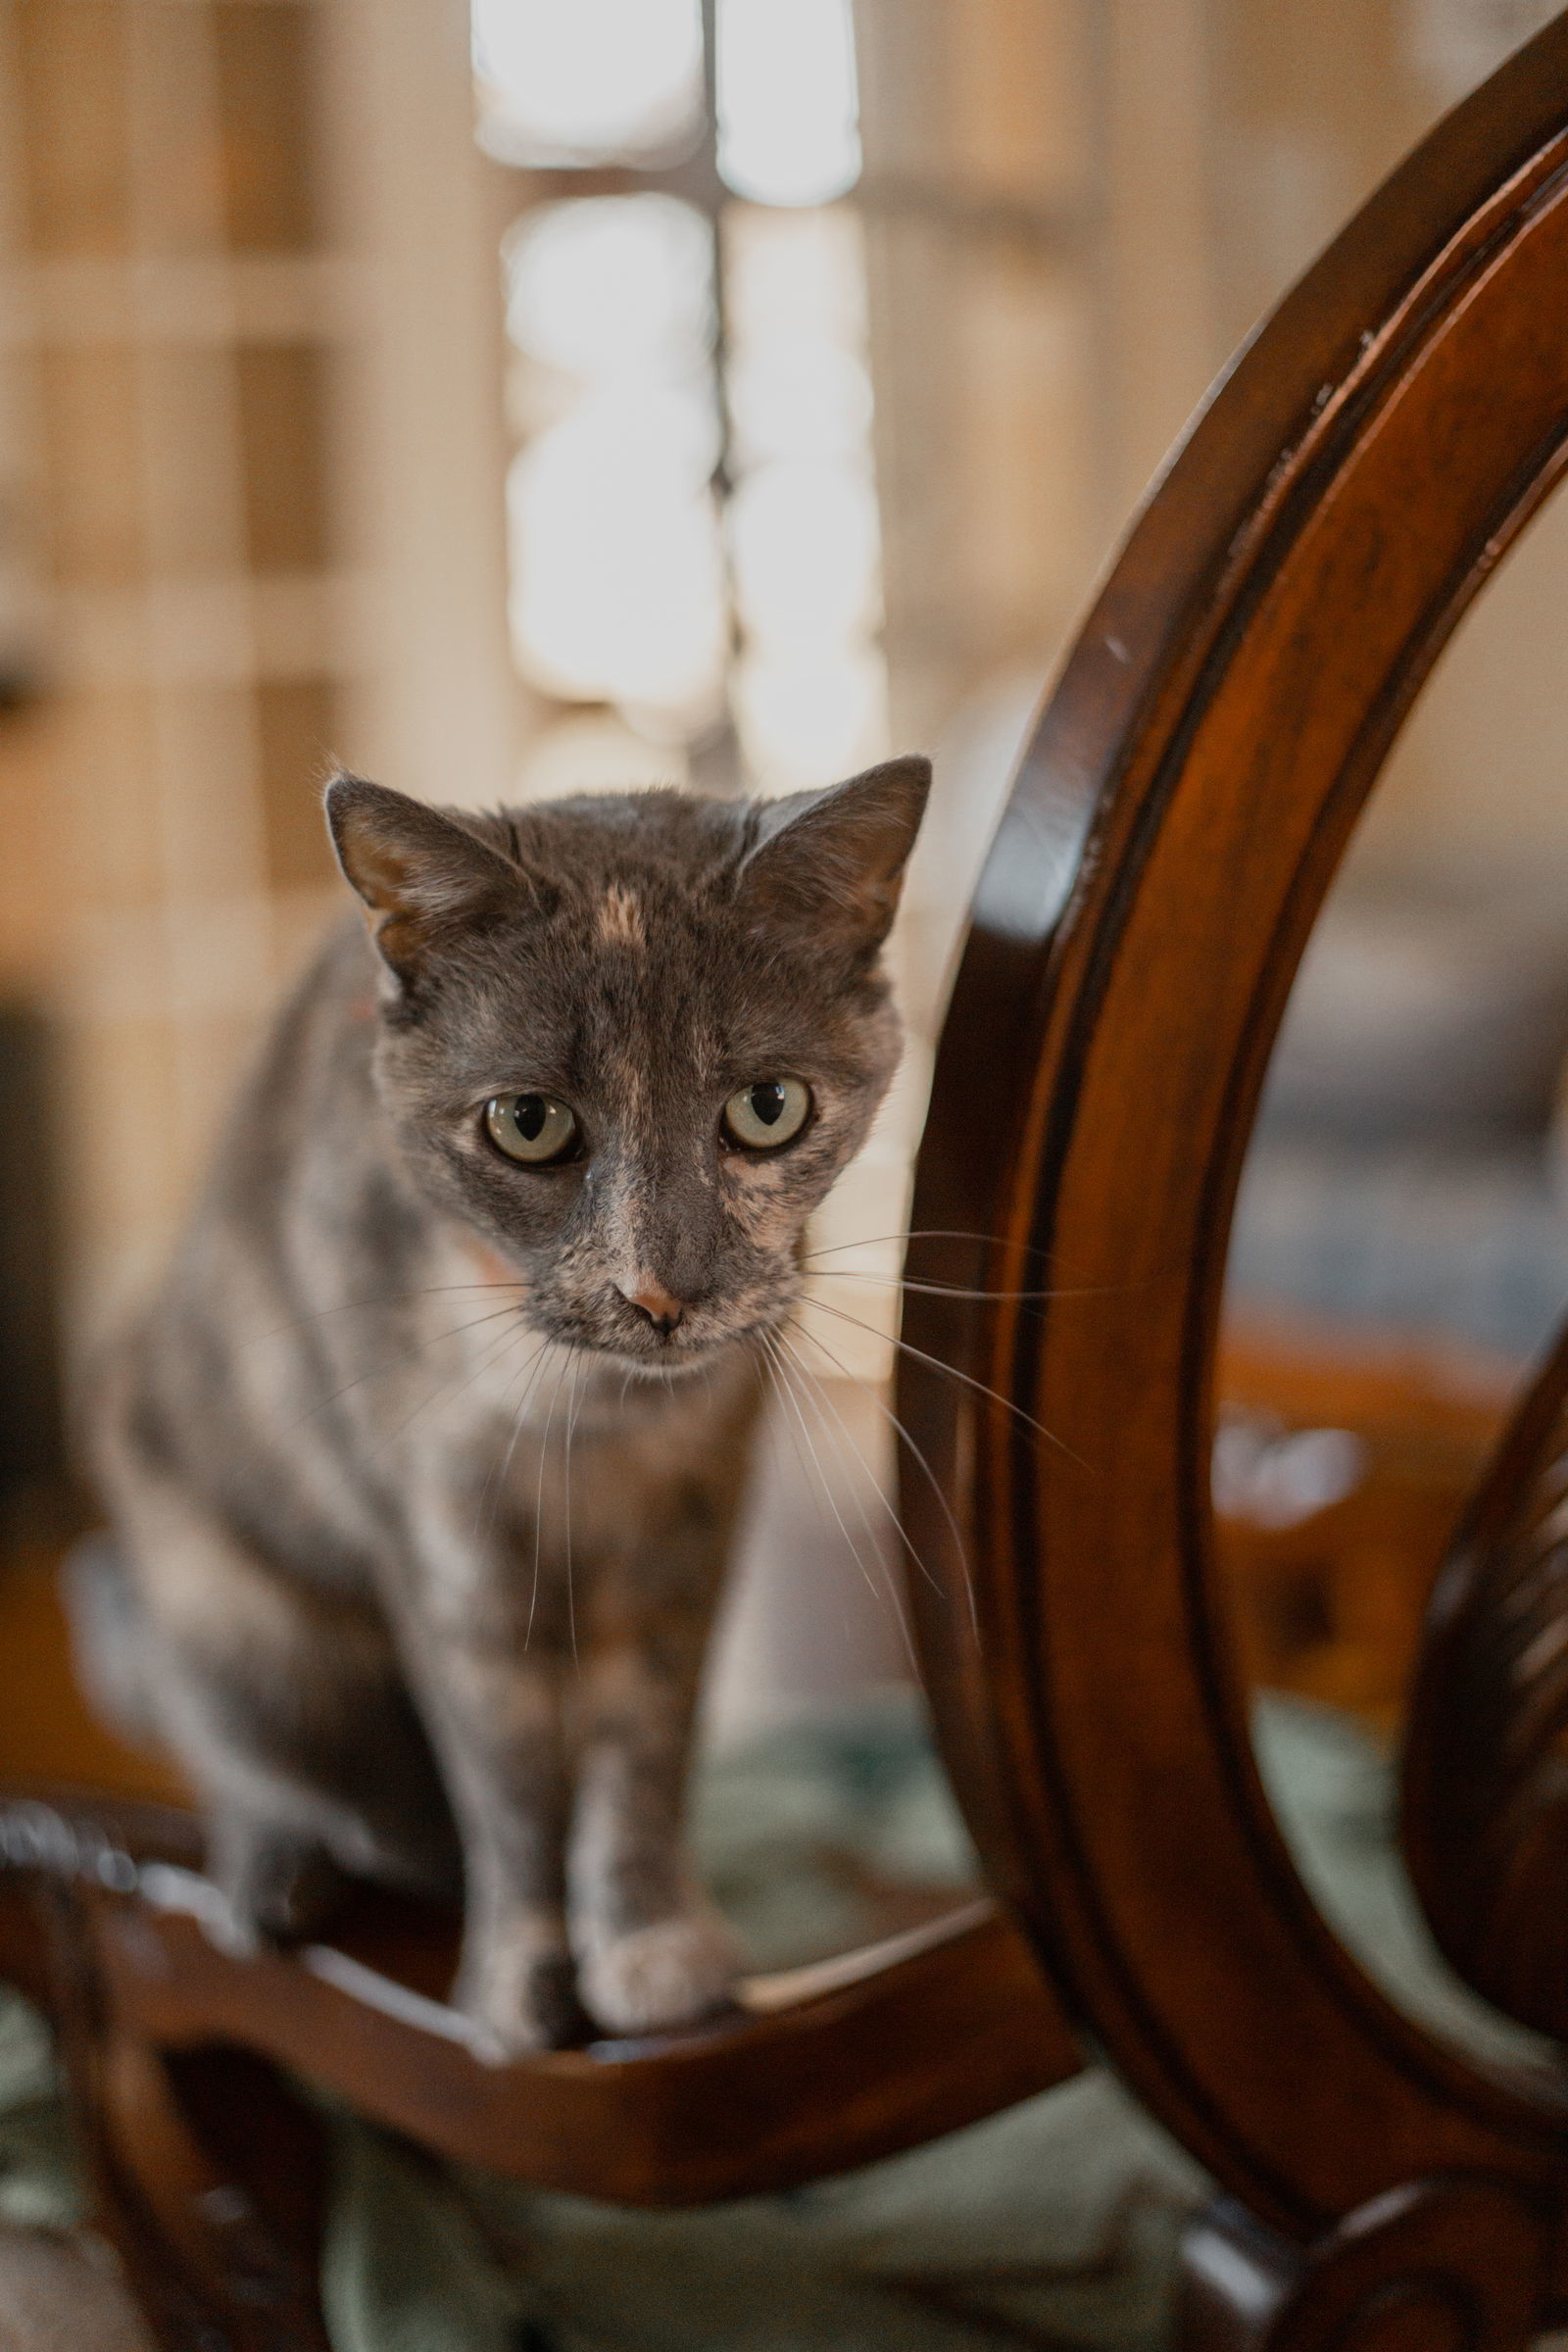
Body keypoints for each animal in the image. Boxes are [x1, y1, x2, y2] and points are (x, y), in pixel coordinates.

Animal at [73, 757, 930, 2060]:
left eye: (768, 1106)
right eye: (527, 1122)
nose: (661, 1293)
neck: (587, 1411)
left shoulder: (692, 1512)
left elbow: (645, 1743)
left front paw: (652, 1952)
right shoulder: (438, 1525)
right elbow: (504, 1769)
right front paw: (520, 1989)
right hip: (194, 1587)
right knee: (236, 1738)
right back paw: (274, 1874)